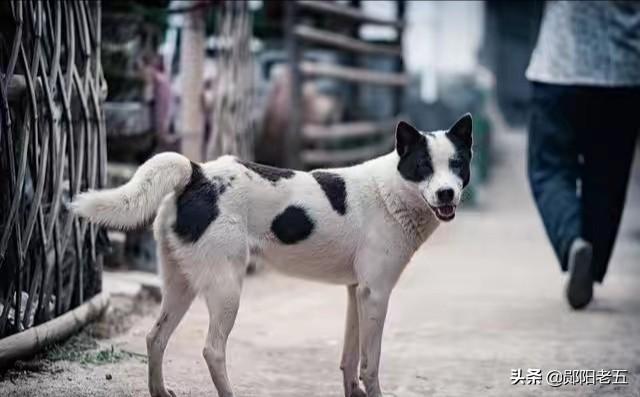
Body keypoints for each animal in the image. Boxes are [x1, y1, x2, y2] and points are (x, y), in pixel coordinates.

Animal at [72, 113, 472, 396]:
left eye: (457, 165)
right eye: (423, 167)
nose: (447, 194)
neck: (391, 192)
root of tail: (197, 174)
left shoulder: (356, 292)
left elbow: (348, 359)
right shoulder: (375, 294)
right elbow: (369, 365)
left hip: (180, 284)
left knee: (155, 338)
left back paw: (158, 391)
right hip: (226, 289)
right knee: (212, 350)